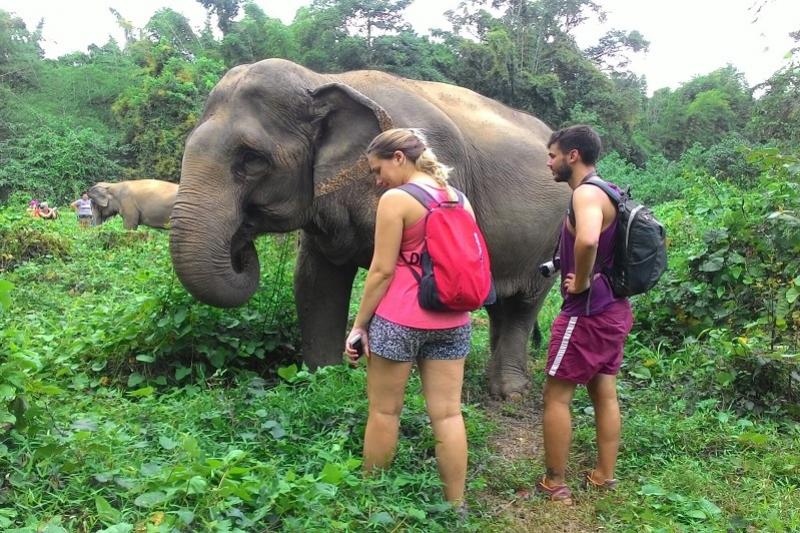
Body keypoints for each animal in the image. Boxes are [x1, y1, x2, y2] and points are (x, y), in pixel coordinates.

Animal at [169, 59, 571, 398]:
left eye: (252, 159)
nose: (240, 245)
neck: (322, 78)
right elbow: (314, 283)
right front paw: (324, 382)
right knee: (502, 304)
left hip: (555, 236)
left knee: (524, 304)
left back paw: (509, 393)